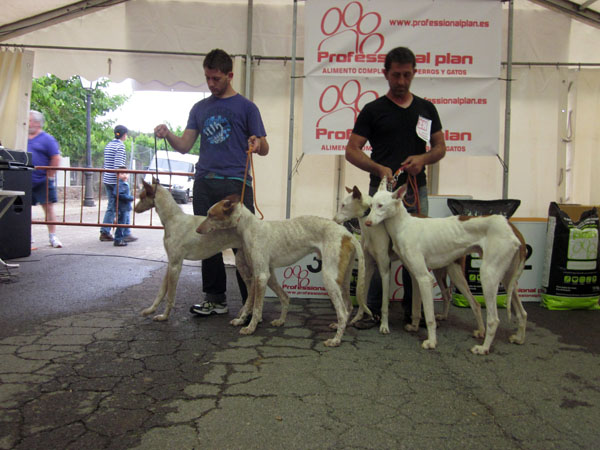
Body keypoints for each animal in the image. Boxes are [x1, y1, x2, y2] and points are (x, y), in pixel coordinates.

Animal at [134, 179, 290, 322]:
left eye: (141, 196)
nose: (134, 209)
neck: (173, 219)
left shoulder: (175, 265)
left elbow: (170, 295)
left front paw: (164, 316)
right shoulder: (170, 263)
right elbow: (161, 292)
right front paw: (150, 310)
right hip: (243, 263)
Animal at [196, 195, 373, 347]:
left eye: (210, 215)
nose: (197, 230)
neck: (249, 227)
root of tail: (347, 233)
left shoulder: (261, 276)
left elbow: (257, 308)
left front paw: (251, 327)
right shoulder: (261, 276)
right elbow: (259, 302)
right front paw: (243, 320)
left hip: (330, 279)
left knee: (342, 312)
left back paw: (336, 340)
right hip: (342, 280)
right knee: (348, 307)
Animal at [334, 186, 485, 337]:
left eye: (343, 205)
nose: (334, 219)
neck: (371, 230)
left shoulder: (385, 268)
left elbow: (384, 304)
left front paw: (384, 325)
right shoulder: (369, 266)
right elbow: (362, 296)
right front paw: (358, 318)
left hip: (455, 272)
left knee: (474, 303)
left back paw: (480, 330)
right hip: (440, 269)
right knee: (447, 294)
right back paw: (443, 316)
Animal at [365, 179, 528, 355]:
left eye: (381, 205)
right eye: (371, 205)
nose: (367, 223)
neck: (403, 225)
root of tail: (511, 227)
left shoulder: (425, 278)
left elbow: (429, 317)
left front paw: (431, 342)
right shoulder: (416, 277)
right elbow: (415, 308)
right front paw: (414, 327)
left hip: (487, 276)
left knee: (494, 319)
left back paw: (483, 347)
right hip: (505, 278)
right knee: (520, 312)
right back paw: (516, 338)